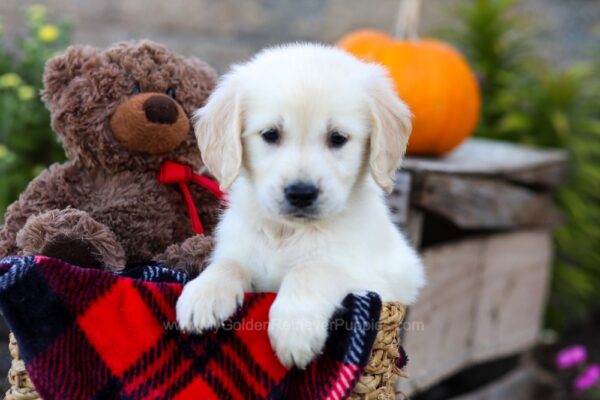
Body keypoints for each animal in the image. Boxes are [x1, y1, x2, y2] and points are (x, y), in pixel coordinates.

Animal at [176, 43, 424, 368]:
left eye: (338, 138)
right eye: (270, 134)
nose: (301, 193)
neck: (286, 232)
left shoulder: (375, 283)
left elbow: (310, 269)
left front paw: (294, 330)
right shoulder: (240, 250)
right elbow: (229, 263)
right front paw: (203, 294)